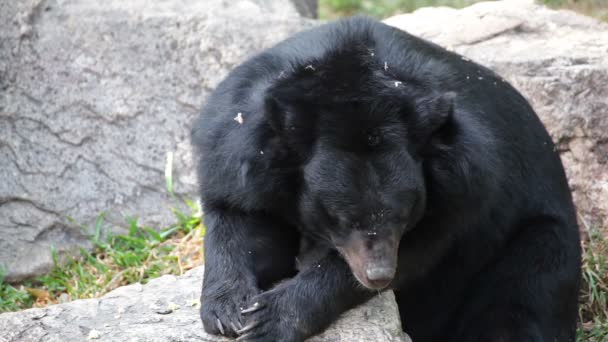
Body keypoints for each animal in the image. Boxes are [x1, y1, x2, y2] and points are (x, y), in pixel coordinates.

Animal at [192, 16, 580, 342]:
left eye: (404, 214)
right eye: (341, 217)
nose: (378, 275)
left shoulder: (463, 190)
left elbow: (415, 250)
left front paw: (269, 319)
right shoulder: (235, 151)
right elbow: (238, 220)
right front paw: (229, 311)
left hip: (534, 244)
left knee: (519, 303)